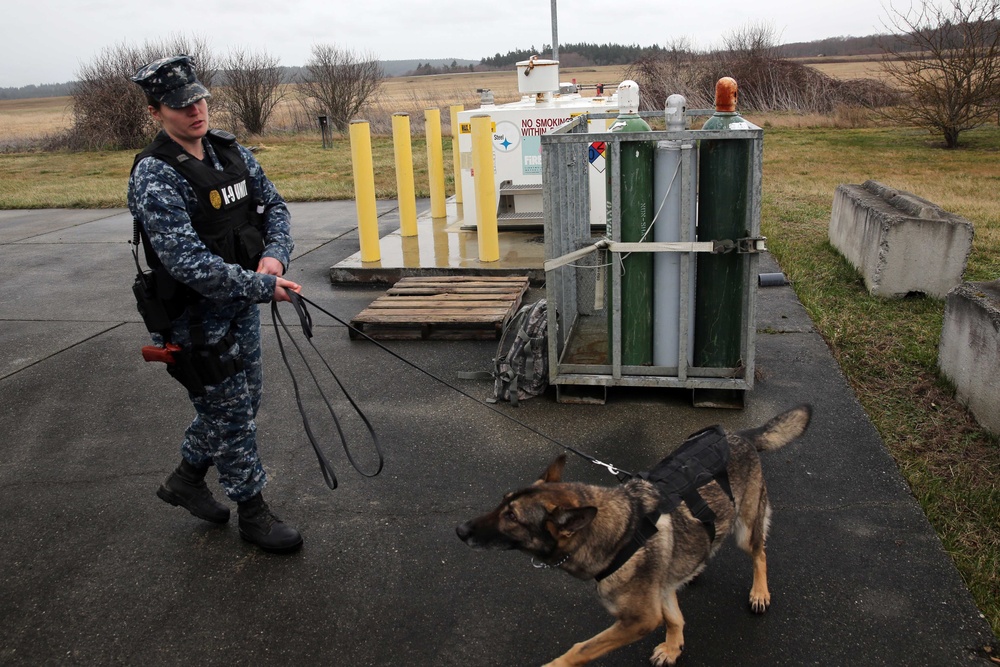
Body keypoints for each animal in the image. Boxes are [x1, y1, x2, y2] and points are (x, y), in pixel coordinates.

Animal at [458, 404, 808, 664]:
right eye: (502, 502)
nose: (460, 530)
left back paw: (759, 592)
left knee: (760, 553)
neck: (620, 533)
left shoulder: (638, 620)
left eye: (511, 517)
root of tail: (740, 436)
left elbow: (580, 649)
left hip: (745, 530)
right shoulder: (659, 591)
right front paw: (673, 646)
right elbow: (673, 617)